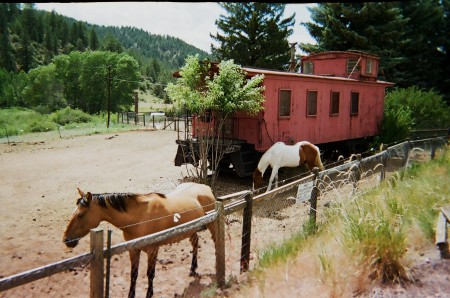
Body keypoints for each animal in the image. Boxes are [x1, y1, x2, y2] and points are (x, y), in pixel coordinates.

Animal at [64, 183, 217, 296]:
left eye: (81, 215)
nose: (66, 240)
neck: (139, 217)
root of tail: (206, 187)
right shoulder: (133, 250)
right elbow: (134, 275)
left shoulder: (152, 250)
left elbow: (150, 274)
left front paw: (149, 294)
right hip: (191, 230)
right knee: (195, 243)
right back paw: (193, 268)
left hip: (212, 225)